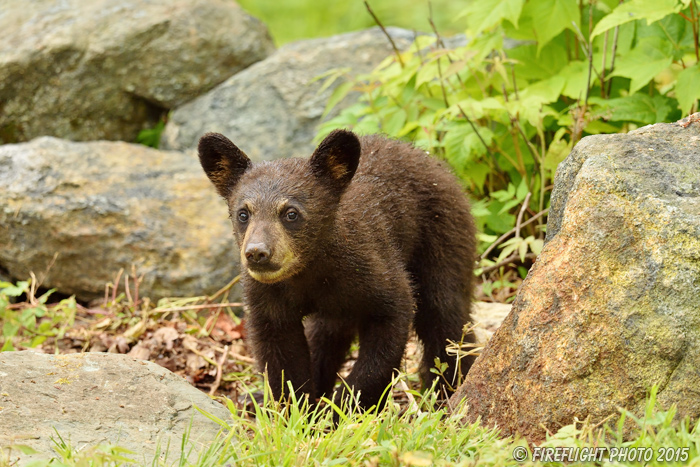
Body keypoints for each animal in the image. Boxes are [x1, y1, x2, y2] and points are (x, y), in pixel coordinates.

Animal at [200, 130, 478, 412]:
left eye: (291, 213)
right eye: (243, 214)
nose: (257, 253)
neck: (311, 270)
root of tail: (433, 161)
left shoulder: (373, 267)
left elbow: (390, 323)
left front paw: (347, 408)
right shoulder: (268, 295)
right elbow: (280, 353)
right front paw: (296, 409)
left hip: (441, 240)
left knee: (444, 315)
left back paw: (449, 388)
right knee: (325, 334)